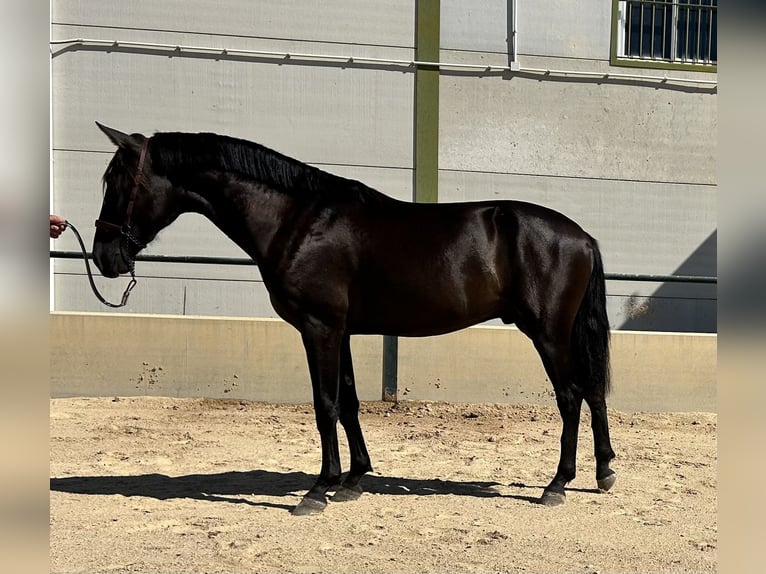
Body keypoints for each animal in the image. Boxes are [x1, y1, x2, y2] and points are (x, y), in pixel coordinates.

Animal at [92, 122, 616, 515]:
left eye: (117, 183)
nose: (104, 257)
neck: (297, 219)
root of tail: (583, 237)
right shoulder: (338, 331)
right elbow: (348, 401)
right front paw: (354, 479)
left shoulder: (318, 328)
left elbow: (324, 405)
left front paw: (319, 488)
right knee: (592, 391)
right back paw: (604, 470)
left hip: (548, 334)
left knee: (571, 396)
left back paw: (557, 483)